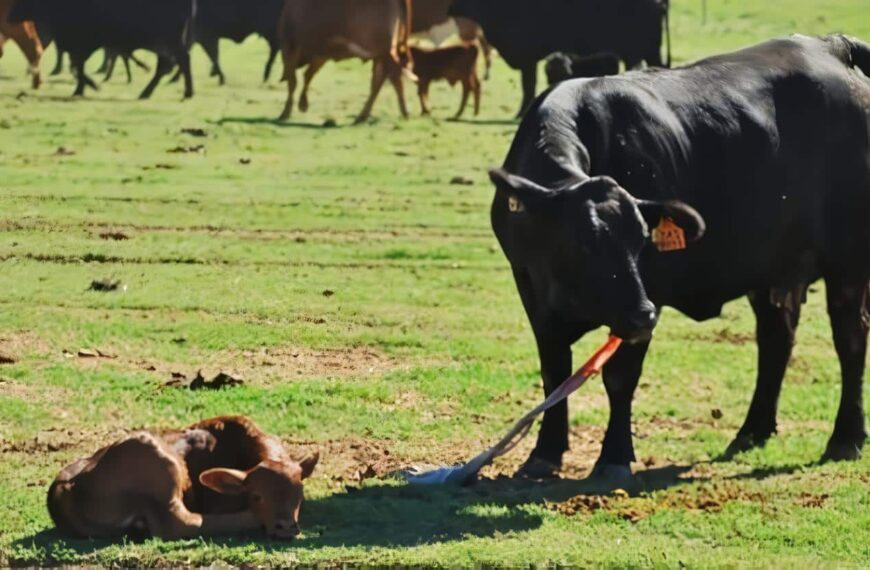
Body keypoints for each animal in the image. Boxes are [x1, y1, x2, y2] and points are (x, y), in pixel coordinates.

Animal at [8, 0, 196, 98]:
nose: (10, 16)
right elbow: (77, 67)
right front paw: (83, 88)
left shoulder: (83, 44)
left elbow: (77, 67)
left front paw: (88, 87)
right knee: (168, 64)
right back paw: (150, 91)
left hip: (168, 40)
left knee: (179, 61)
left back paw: (184, 91)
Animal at [48, 414, 320, 540]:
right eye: (256, 496)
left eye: (300, 495)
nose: (285, 526)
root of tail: (64, 489)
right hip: (156, 459)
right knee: (179, 523)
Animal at [280, 0, 416, 123]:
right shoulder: (322, 52)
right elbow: (308, 74)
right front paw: (302, 103)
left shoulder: (289, 45)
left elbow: (293, 81)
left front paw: (286, 111)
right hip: (381, 53)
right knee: (379, 81)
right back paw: (363, 116)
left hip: (385, 49)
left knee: (391, 78)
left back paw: (403, 111)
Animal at [490, 34, 870, 480]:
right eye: (582, 243)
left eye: (642, 243)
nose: (644, 314)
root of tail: (833, 46)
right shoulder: (533, 293)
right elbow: (553, 374)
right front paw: (544, 452)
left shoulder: (644, 295)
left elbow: (620, 377)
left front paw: (614, 457)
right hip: (772, 266)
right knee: (777, 338)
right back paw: (752, 431)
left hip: (847, 262)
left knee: (850, 339)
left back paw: (845, 437)